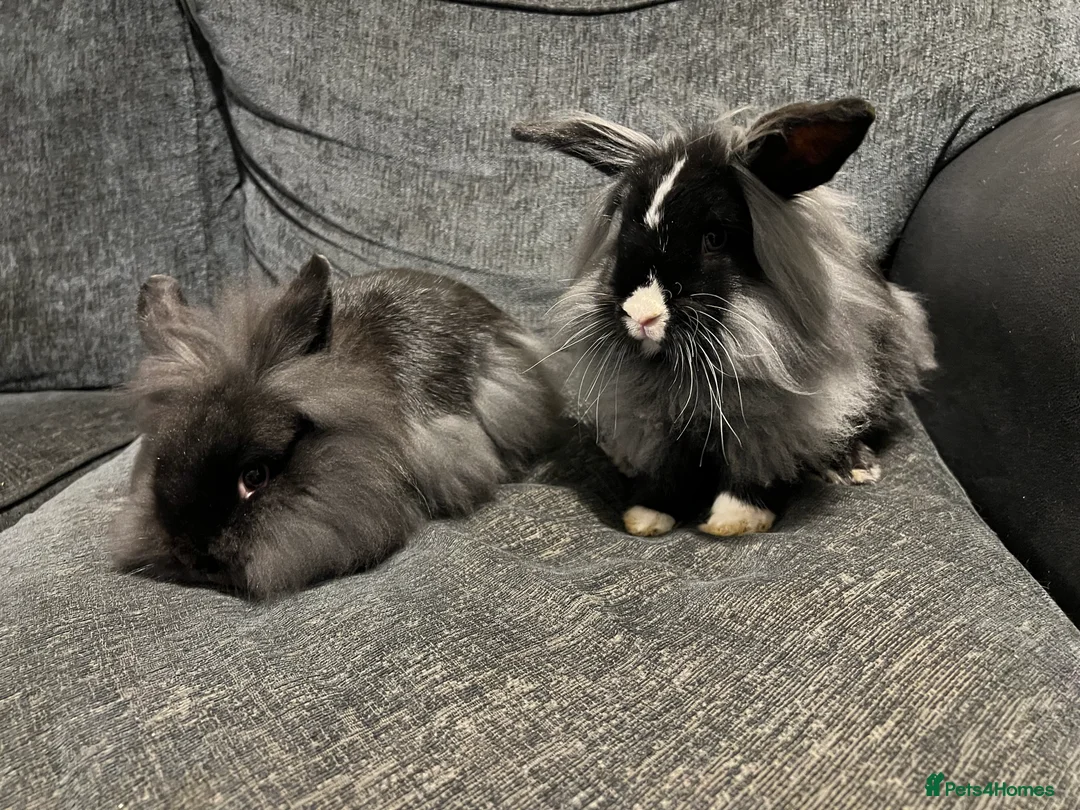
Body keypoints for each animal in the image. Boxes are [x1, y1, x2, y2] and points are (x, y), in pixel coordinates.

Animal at [512, 98, 935, 538]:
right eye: (625, 227)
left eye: (714, 238)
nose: (640, 314)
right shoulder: (657, 421)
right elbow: (665, 468)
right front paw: (647, 516)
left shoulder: (768, 420)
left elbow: (754, 466)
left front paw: (735, 520)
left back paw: (854, 467)